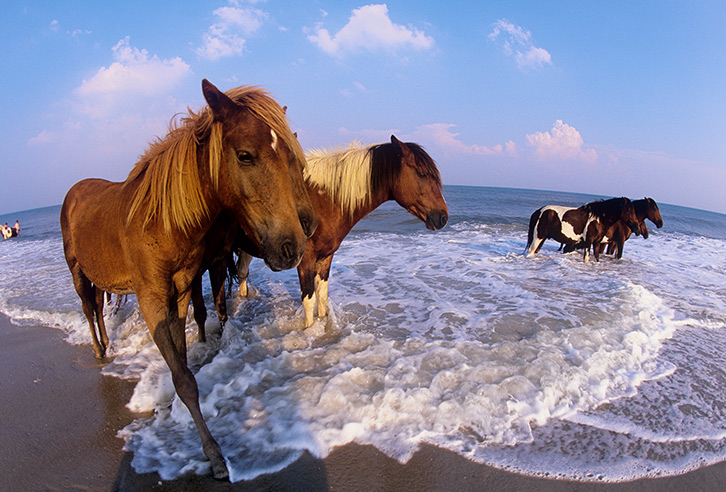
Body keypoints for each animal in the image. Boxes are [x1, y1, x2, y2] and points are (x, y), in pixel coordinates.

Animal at [59, 79, 316, 478]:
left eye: (291, 158)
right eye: (245, 155)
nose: (294, 244)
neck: (160, 222)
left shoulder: (179, 292)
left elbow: (183, 361)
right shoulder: (151, 299)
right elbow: (183, 376)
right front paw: (212, 453)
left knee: (99, 310)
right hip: (77, 271)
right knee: (88, 309)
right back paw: (100, 350)